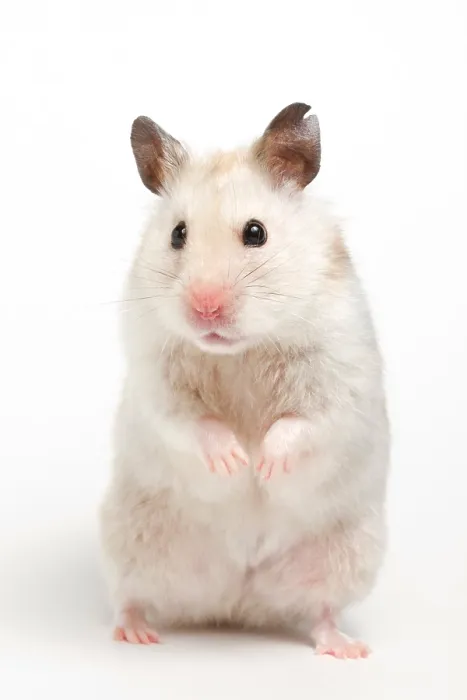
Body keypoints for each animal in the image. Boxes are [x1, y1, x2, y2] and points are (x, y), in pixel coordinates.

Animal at [99, 103, 389, 658]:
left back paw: (346, 648)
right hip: (130, 538)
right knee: (130, 594)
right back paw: (135, 633)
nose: (205, 307)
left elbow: (301, 424)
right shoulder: (157, 383)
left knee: (320, 610)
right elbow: (192, 422)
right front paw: (235, 462)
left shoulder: (339, 381)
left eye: (256, 232)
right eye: (178, 234)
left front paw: (264, 467)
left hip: (347, 553)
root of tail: (237, 600)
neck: (241, 352)